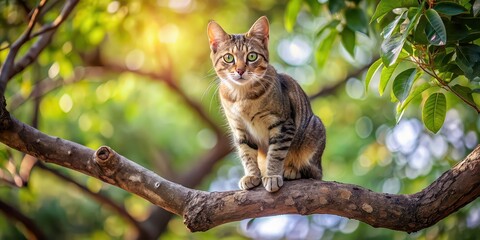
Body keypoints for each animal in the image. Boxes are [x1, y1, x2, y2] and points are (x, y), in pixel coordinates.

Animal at [206, 15, 326, 192]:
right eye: (228, 58)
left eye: (252, 56)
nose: (240, 70)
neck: (242, 96)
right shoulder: (240, 130)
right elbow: (247, 155)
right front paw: (252, 176)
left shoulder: (282, 125)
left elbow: (275, 154)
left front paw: (272, 175)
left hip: (314, 128)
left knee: (312, 171)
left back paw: (291, 170)